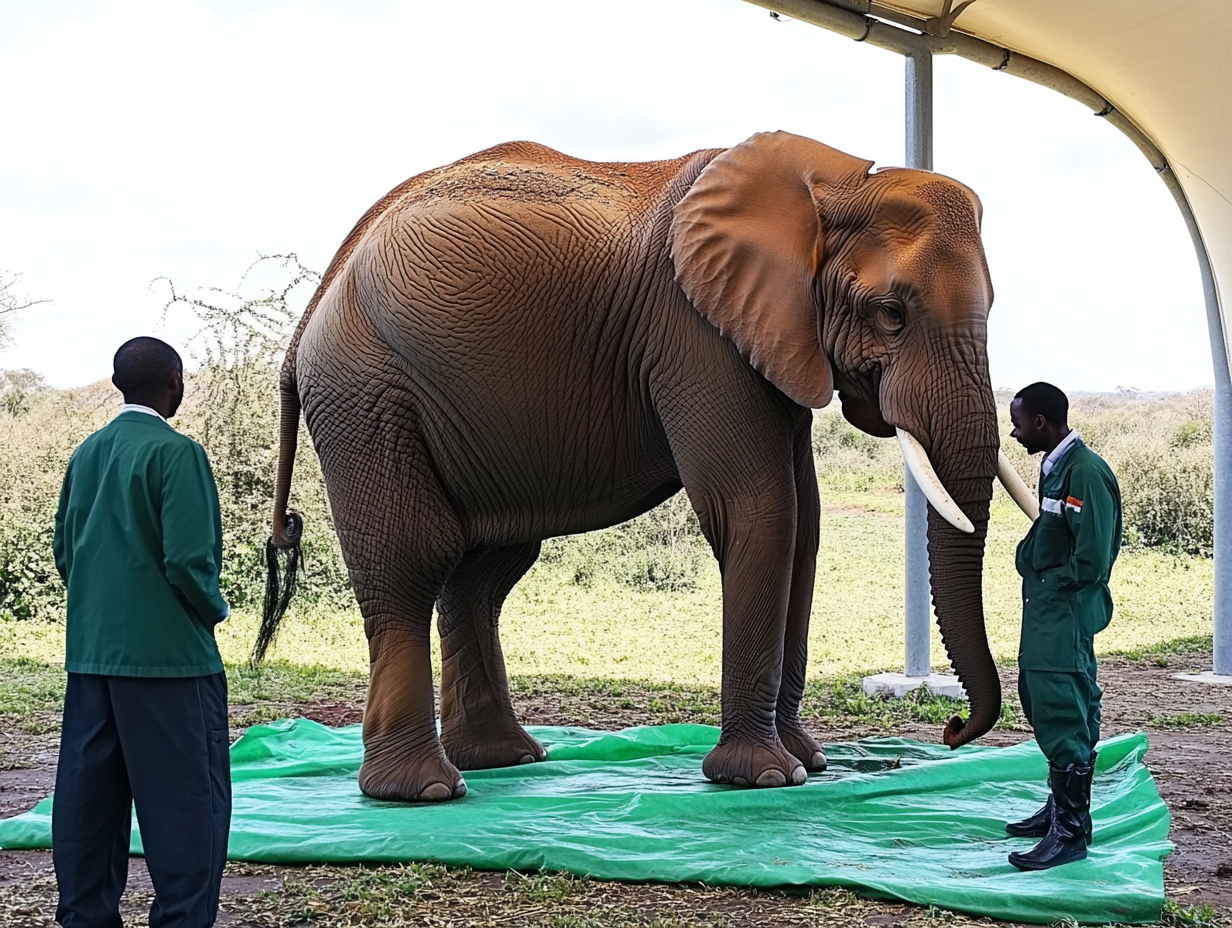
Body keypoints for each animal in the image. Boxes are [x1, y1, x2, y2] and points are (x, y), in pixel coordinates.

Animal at [260, 130, 1034, 803]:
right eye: (891, 313)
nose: (952, 730)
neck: (832, 184)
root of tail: (311, 311)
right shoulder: (695, 332)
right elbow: (759, 509)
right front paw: (764, 778)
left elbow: (805, 526)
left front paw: (806, 764)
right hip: (365, 391)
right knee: (412, 559)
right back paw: (424, 790)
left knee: (484, 570)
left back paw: (506, 760)